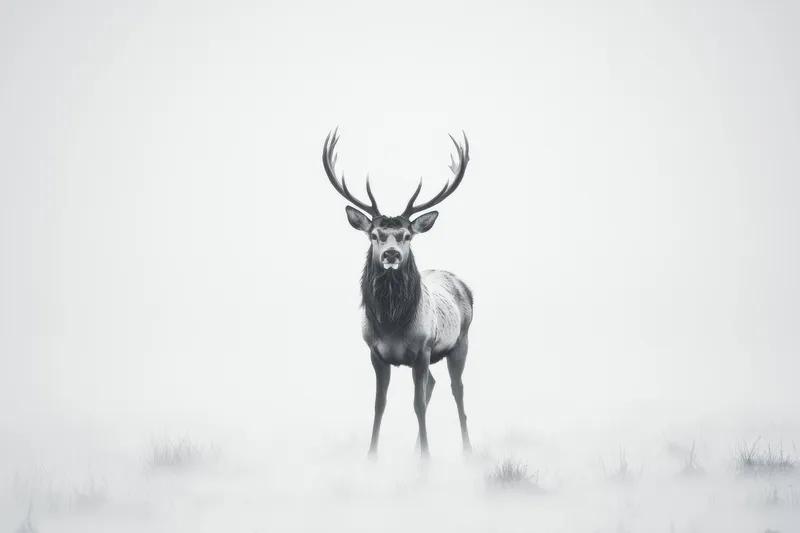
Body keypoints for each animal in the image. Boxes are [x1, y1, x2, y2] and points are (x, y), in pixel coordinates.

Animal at [322, 127, 474, 460]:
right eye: (374, 234)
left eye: (407, 235)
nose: (390, 254)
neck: (393, 324)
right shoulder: (376, 353)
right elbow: (380, 404)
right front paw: (371, 457)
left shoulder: (422, 349)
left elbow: (417, 405)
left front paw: (426, 460)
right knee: (433, 385)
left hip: (460, 342)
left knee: (457, 391)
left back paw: (468, 451)